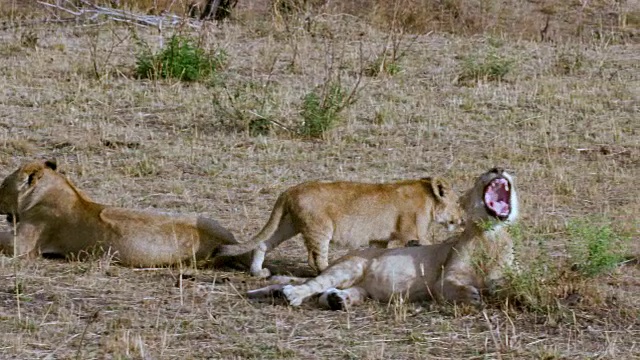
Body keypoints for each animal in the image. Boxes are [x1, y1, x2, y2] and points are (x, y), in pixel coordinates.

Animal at [215, 176, 464, 278]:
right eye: (459, 203)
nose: (462, 219)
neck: (429, 198)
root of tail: (289, 190)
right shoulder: (413, 233)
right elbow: (430, 247)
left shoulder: (380, 238)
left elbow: (377, 252)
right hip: (320, 228)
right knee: (316, 258)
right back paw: (328, 270)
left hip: (287, 225)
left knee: (263, 244)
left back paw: (258, 271)